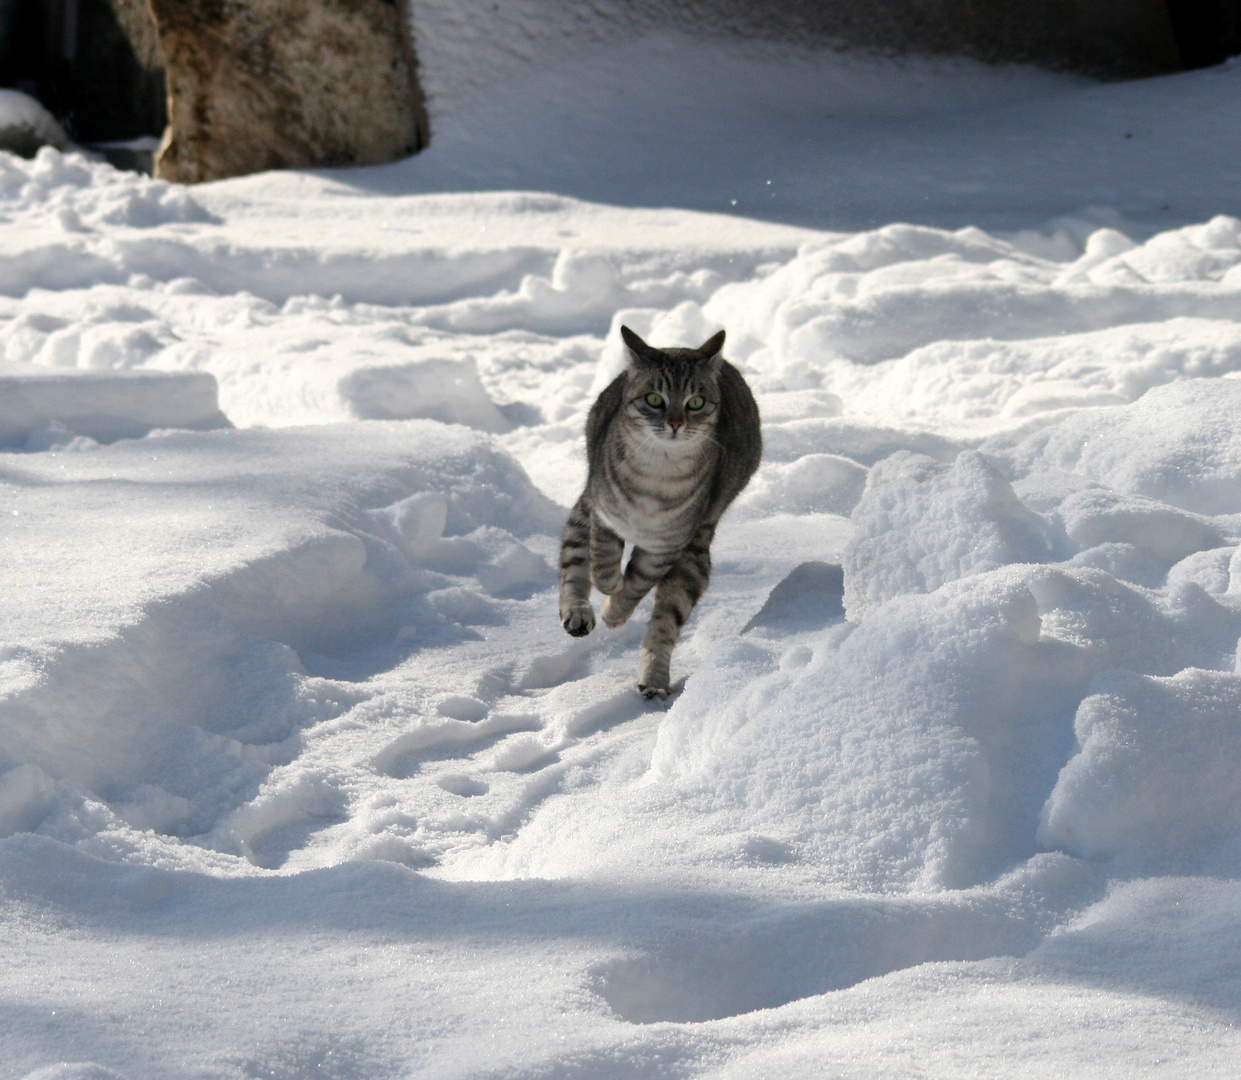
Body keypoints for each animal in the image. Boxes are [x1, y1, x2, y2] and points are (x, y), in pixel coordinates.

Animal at [558, 325, 759, 700]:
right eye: (654, 399)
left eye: (695, 402)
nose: (676, 423)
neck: (656, 475)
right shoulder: (603, 516)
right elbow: (603, 566)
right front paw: (608, 594)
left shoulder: (666, 547)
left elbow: (636, 584)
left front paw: (614, 611)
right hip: (585, 506)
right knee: (573, 563)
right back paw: (577, 613)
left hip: (694, 556)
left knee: (664, 624)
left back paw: (653, 679)